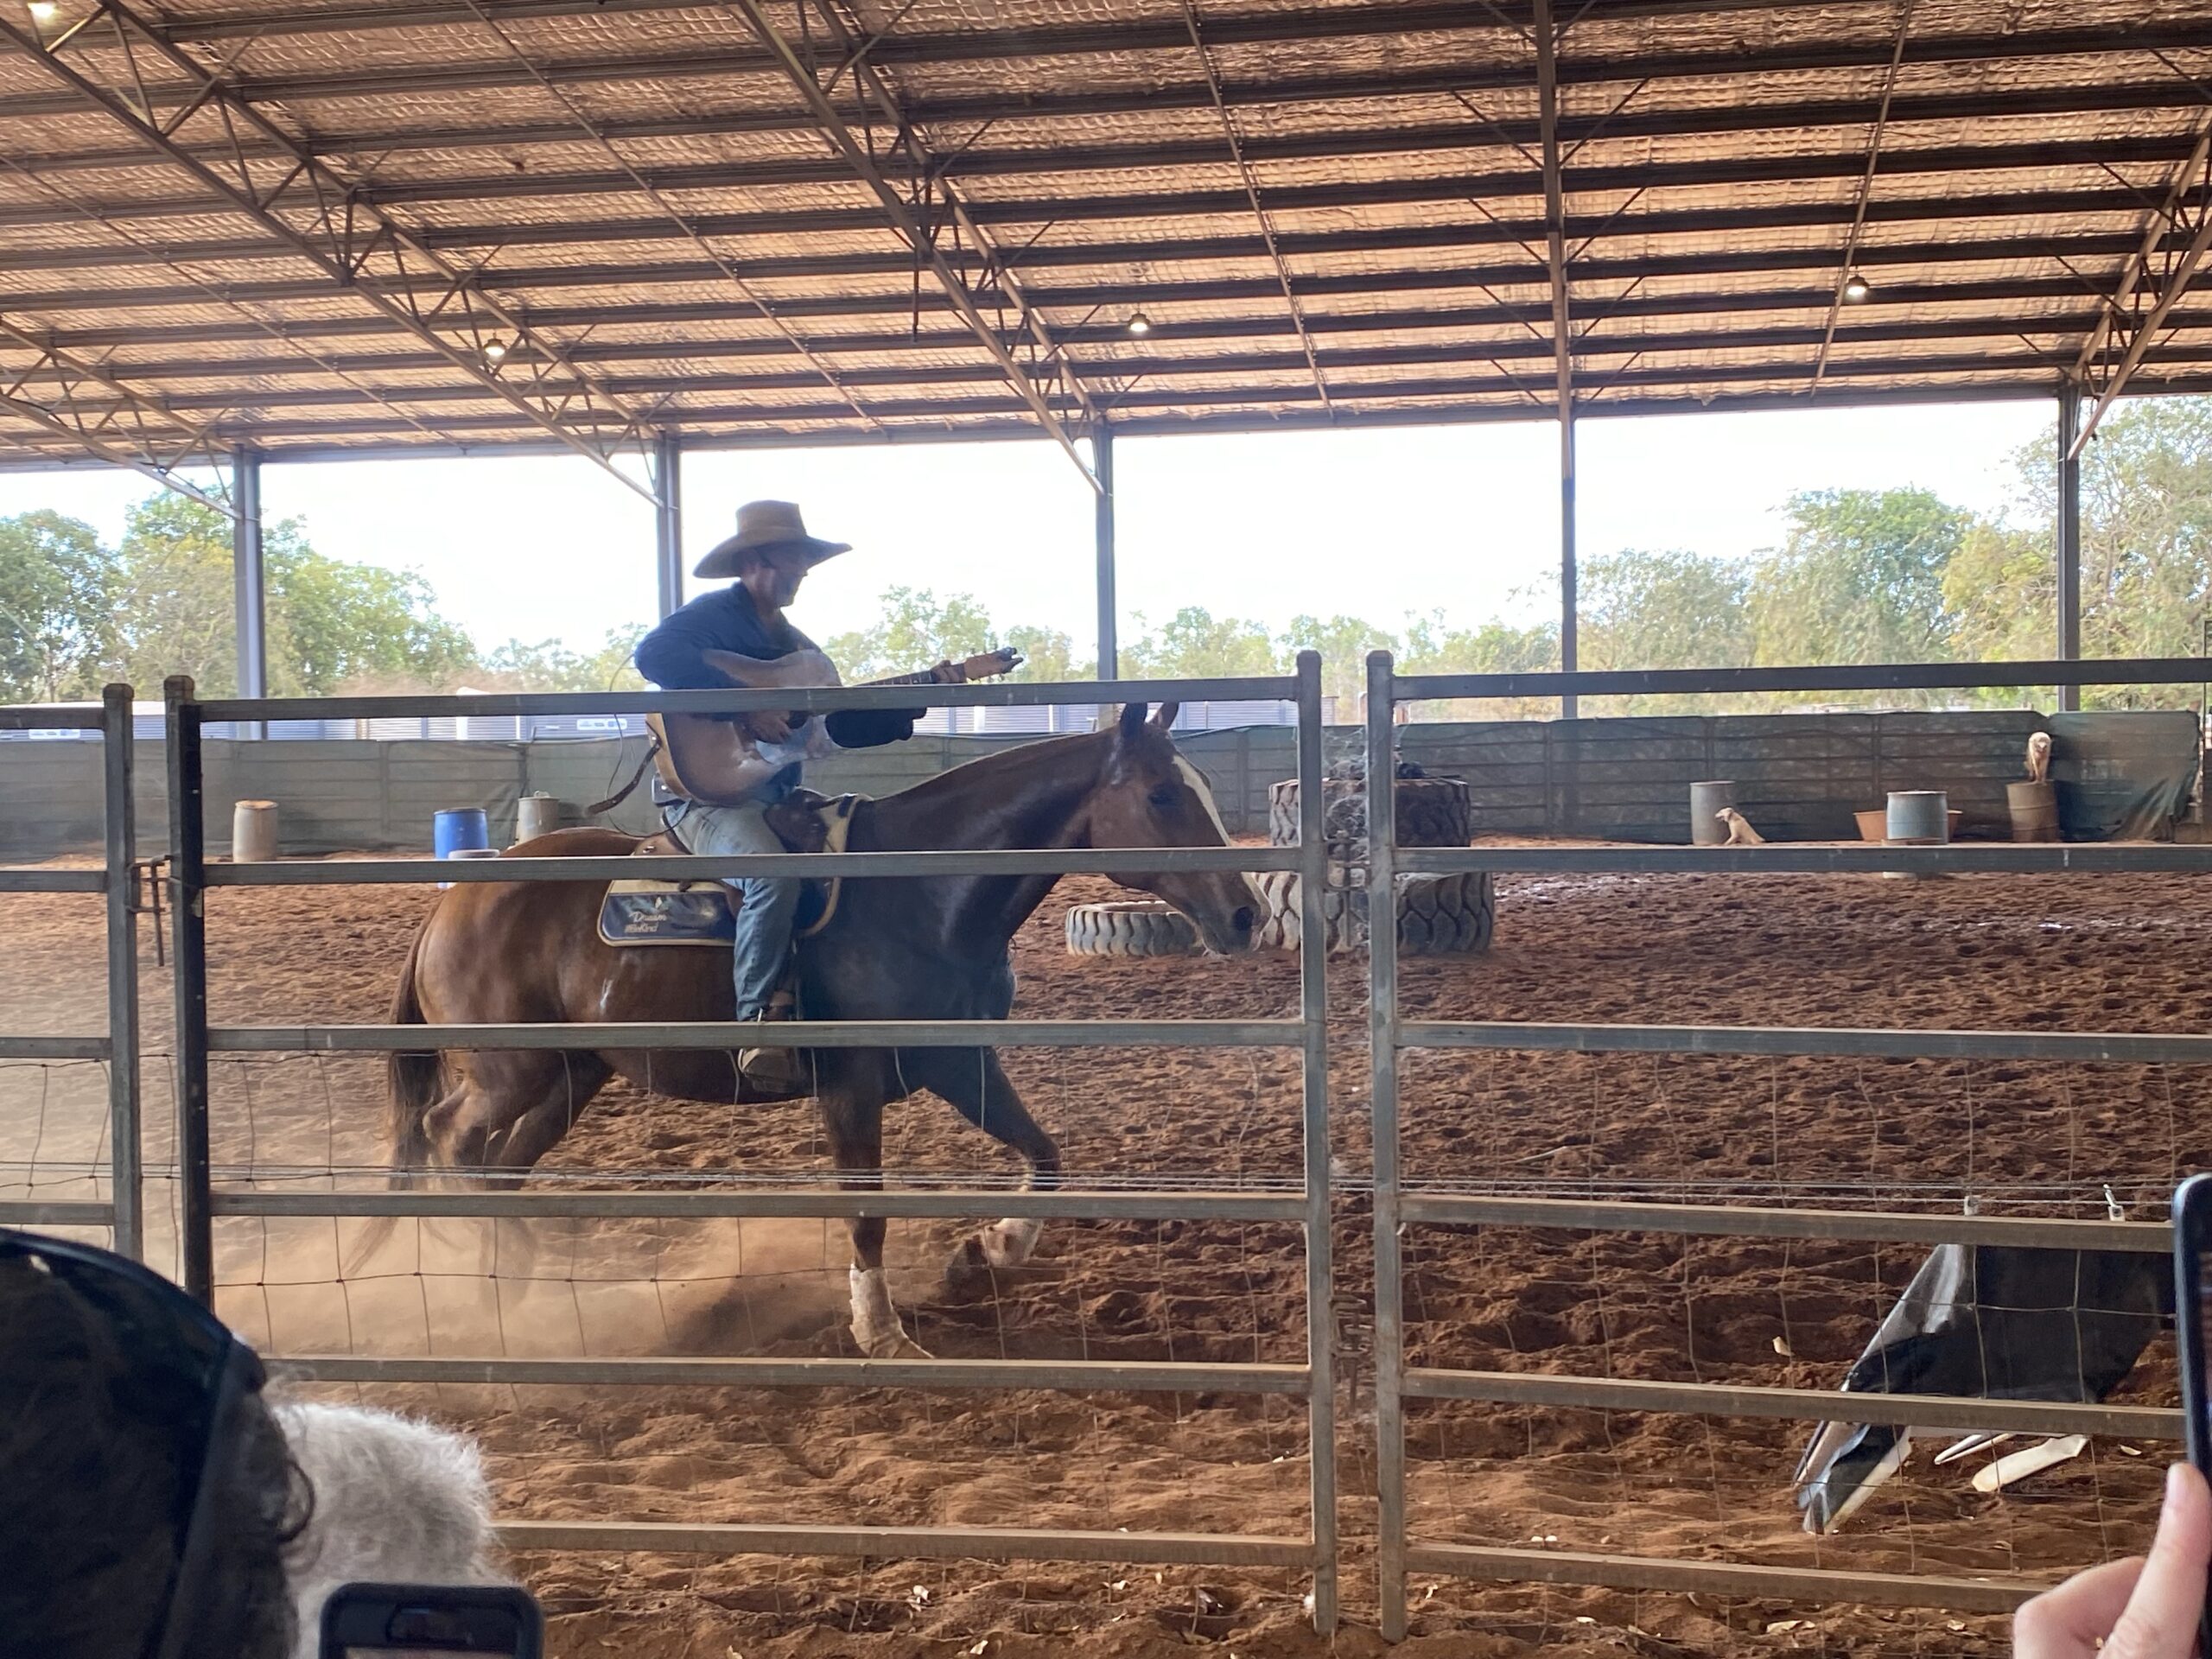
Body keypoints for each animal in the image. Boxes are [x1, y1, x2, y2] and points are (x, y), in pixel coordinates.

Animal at [385, 702, 1259, 1357]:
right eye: (1163, 795)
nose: (1246, 913)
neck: (923, 891)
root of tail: (452, 904)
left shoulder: (962, 1062)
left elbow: (1044, 1157)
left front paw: (983, 1253)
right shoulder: (851, 1085)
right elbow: (867, 1212)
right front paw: (880, 1330)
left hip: (573, 1074)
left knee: (500, 1167)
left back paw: (516, 1281)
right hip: (510, 1070)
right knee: (450, 1135)